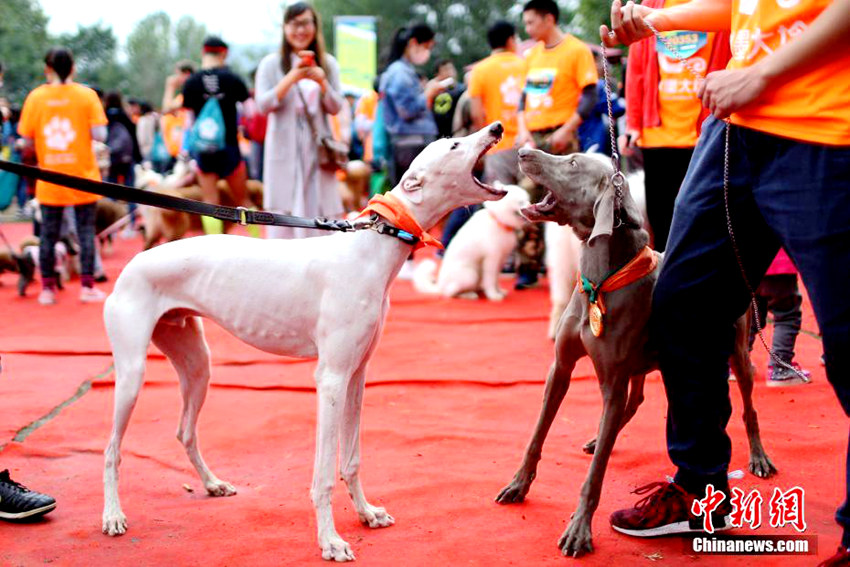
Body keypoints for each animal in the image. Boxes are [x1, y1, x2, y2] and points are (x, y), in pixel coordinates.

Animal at [102, 122, 506, 560]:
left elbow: (351, 459)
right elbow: (324, 473)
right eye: (453, 144)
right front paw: (330, 540)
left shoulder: (356, 375)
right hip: (131, 374)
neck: (371, 247)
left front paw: (366, 513)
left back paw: (211, 484)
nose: (497, 127)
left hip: (196, 364)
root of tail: (131, 264)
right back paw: (113, 515)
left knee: (185, 431)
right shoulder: (330, 379)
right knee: (112, 450)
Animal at [490, 149, 776, 556]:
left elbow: (595, 474)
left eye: (573, 163)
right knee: (634, 401)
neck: (601, 281)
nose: (523, 151)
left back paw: (759, 457)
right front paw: (518, 484)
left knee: (747, 407)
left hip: (735, 352)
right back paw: (598, 439)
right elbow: (537, 434)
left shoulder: (612, 381)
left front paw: (579, 530)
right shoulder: (560, 368)